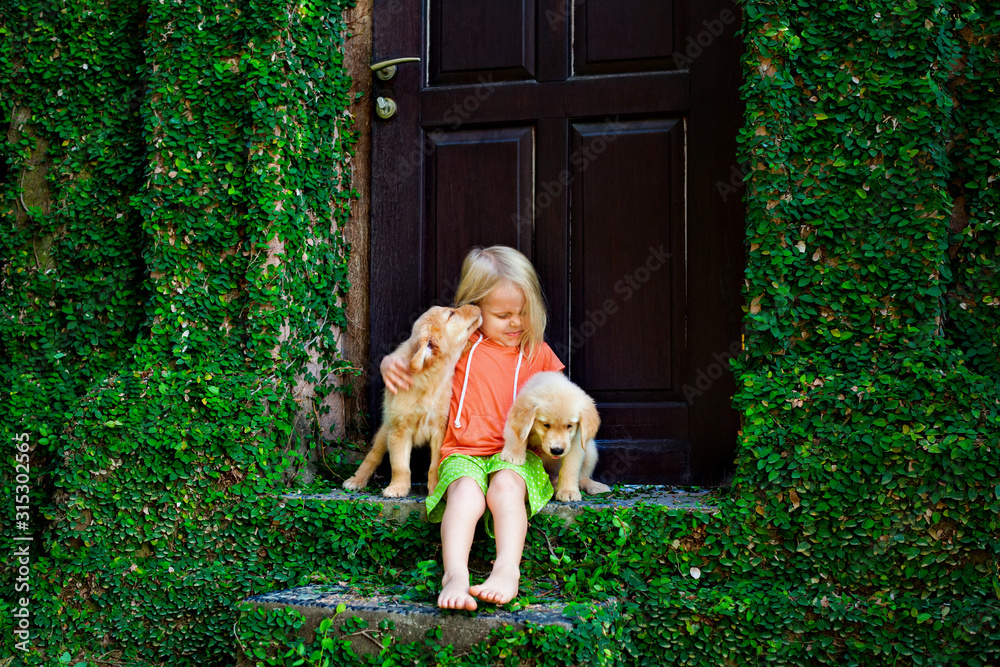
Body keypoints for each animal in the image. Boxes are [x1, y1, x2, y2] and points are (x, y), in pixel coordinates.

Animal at [344, 306, 484, 498]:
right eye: (451, 314)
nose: (476, 306)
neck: (431, 379)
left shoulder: (440, 428)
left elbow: (435, 465)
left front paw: (436, 489)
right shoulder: (399, 429)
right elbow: (400, 465)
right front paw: (398, 487)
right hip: (385, 430)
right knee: (373, 455)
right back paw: (356, 480)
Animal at [498, 370, 608, 500]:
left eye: (569, 426)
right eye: (546, 425)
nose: (557, 451)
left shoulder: (576, 441)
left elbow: (570, 468)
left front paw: (568, 491)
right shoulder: (515, 418)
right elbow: (517, 436)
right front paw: (513, 454)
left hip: (590, 450)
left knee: (583, 476)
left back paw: (592, 485)